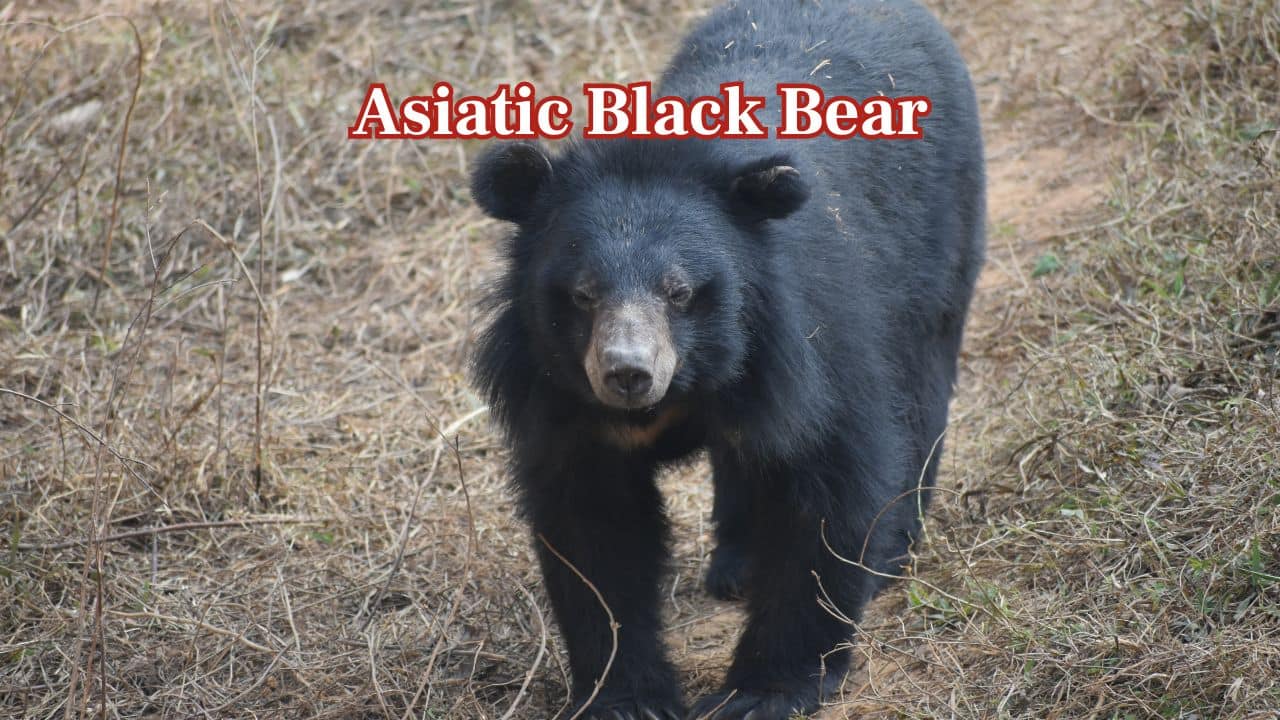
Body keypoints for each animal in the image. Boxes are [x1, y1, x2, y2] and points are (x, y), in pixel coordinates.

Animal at [469, 0, 984, 718]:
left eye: (679, 291)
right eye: (583, 293)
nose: (627, 373)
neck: (697, 374)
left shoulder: (809, 343)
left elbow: (826, 482)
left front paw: (764, 690)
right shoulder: (562, 400)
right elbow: (595, 529)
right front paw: (625, 696)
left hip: (939, 239)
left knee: (919, 387)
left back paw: (892, 548)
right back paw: (736, 565)